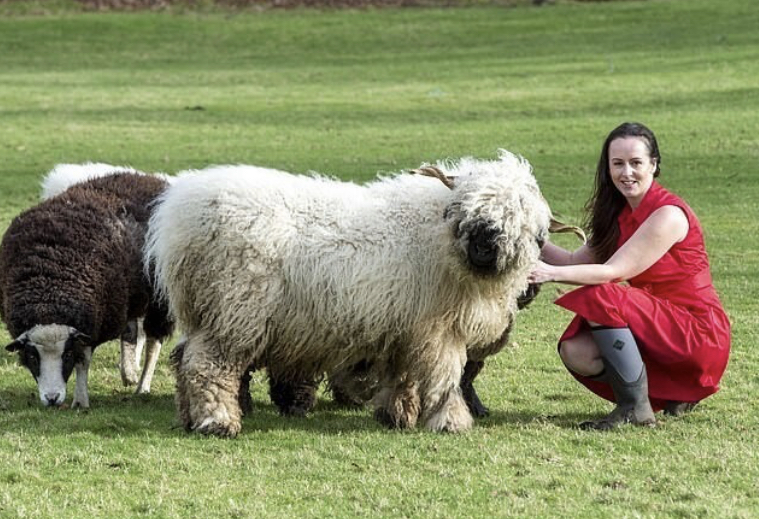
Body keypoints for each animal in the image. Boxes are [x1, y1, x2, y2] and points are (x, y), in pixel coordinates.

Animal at [1, 171, 174, 408]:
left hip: (159, 300)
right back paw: (128, 372)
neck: (49, 293)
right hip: (129, 296)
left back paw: (142, 385)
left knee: (153, 343)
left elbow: (83, 360)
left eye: (66, 356)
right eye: (33, 356)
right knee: (131, 332)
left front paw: (80, 400)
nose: (52, 399)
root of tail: (148, 178)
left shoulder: (92, 322)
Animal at [146, 150, 552, 437]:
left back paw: (189, 418)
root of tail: (179, 219)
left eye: (517, 211)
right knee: (207, 365)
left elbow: (403, 374)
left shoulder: (408, 326)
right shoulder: (438, 330)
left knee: (182, 360)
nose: (484, 244)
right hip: (235, 309)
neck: (440, 238)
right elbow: (443, 378)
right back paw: (217, 421)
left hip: (204, 309)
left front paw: (397, 415)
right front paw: (449, 422)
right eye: (465, 204)